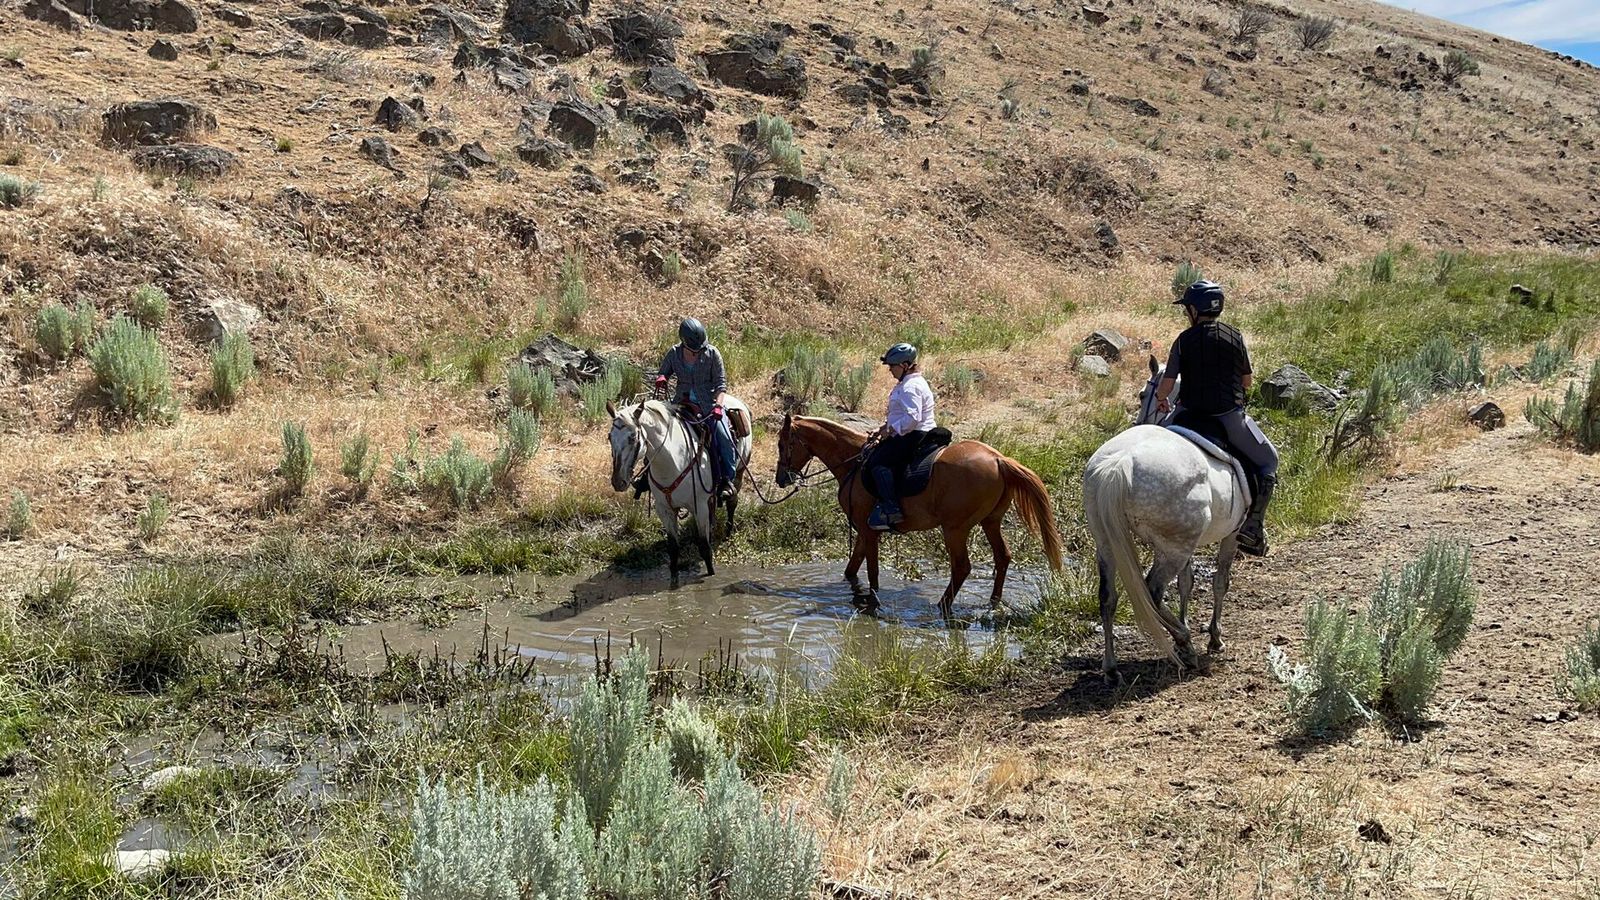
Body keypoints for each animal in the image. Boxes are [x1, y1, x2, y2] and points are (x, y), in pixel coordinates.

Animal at [606, 397, 753, 577]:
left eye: (633, 437)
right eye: (609, 437)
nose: (618, 481)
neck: (673, 461)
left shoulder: (699, 507)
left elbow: (705, 548)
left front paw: (711, 574)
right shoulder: (665, 510)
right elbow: (674, 550)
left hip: (739, 472)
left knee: (732, 502)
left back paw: (727, 532)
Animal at [775, 414, 1064, 617]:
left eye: (781, 444)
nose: (780, 479)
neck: (854, 463)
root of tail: (998, 459)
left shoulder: (868, 531)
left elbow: (873, 572)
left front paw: (872, 604)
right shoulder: (863, 531)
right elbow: (852, 568)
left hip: (955, 529)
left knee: (962, 567)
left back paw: (943, 606)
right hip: (990, 522)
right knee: (1002, 557)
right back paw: (993, 603)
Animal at [1081, 356, 1248, 678]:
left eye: (1142, 394)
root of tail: (1121, 463)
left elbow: (1187, 582)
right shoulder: (1231, 534)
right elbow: (1220, 581)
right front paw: (1214, 638)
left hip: (1107, 542)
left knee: (1107, 597)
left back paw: (1112, 667)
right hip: (1173, 548)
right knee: (1153, 591)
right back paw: (1185, 643)